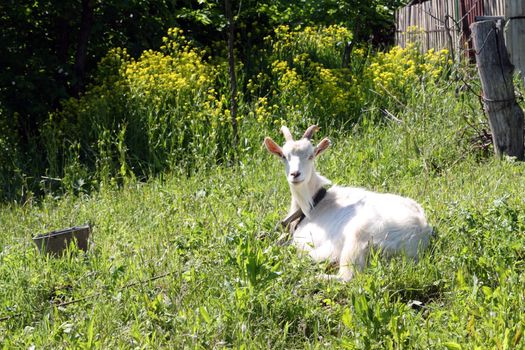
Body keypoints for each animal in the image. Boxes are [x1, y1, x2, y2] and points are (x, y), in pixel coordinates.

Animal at [264, 126, 432, 282]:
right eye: (283, 156)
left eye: (311, 155)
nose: (295, 174)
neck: (313, 204)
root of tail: (421, 232)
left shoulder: (307, 242)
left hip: (360, 237)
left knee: (348, 276)